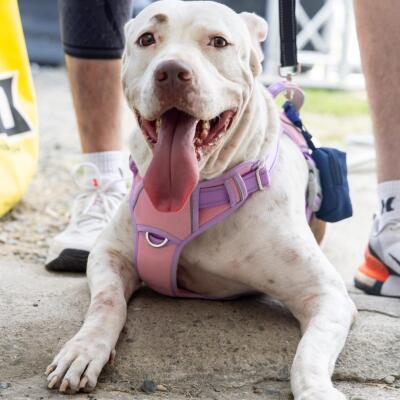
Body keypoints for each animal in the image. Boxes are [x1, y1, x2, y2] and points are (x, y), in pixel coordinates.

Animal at [45, 1, 357, 398]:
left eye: (218, 41)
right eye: (147, 38)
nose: (171, 72)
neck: (196, 193)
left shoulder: (326, 294)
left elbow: (309, 354)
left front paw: (317, 389)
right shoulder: (108, 255)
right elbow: (106, 303)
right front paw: (83, 350)